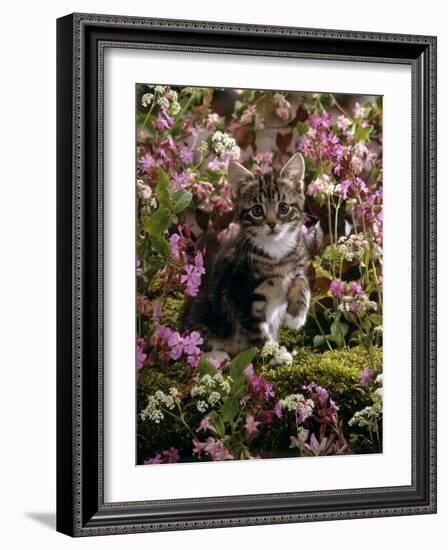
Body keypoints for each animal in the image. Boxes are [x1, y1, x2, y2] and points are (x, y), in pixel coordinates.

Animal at [184, 153, 310, 356]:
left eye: (283, 207)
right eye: (257, 210)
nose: (272, 224)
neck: (276, 254)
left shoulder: (297, 263)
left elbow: (302, 280)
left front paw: (296, 315)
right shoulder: (240, 294)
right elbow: (257, 332)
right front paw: (271, 354)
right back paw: (218, 355)